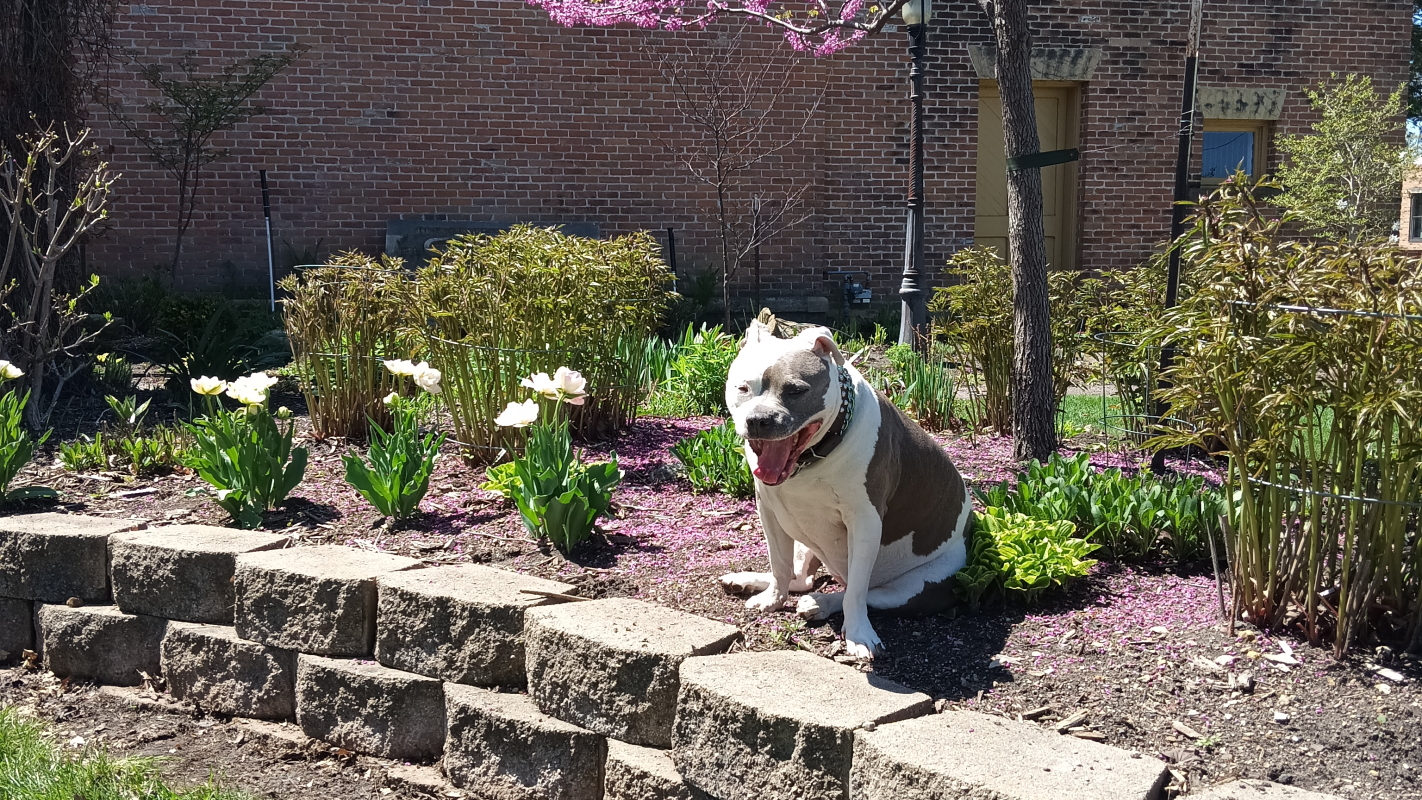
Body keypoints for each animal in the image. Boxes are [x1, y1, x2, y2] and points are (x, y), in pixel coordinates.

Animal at [716, 322, 972, 659]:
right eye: (743, 388)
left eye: (796, 390)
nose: (759, 420)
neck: (812, 459)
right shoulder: (769, 511)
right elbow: (779, 564)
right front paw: (772, 598)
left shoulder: (864, 523)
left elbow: (857, 592)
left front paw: (859, 636)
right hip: (805, 541)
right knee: (802, 578)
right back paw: (746, 580)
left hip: (914, 587)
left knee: (866, 593)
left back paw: (821, 604)